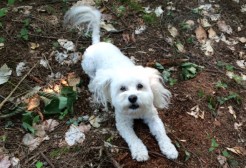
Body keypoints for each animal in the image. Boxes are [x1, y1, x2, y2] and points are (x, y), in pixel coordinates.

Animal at [64, 4, 178, 161]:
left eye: (140, 86)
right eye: (122, 89)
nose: (132, 97)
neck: (136, 111)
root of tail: (97, 43)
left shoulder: (152, 116)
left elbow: (162, 133)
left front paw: (169, 149)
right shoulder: (123, 123)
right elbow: (133, 138)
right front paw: (140, 152)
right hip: (88, 65)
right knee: (92, 77)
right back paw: (93, 85)